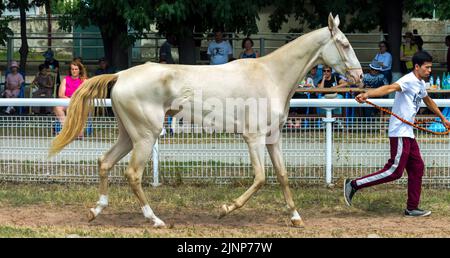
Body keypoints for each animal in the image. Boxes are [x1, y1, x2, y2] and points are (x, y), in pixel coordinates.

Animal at [50, 14, 362, 228]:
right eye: (345, 44)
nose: (359, 76)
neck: (271, 76)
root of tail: (120, 75)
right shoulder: (254, 138)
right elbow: (261, 177)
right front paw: (225, 209)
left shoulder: (273, 138)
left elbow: (283, 175)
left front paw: (296, 217)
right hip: (145, 136)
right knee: (133, 174)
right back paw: (155, 220)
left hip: (129, 135)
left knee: (104, 162)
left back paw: (96, 210)